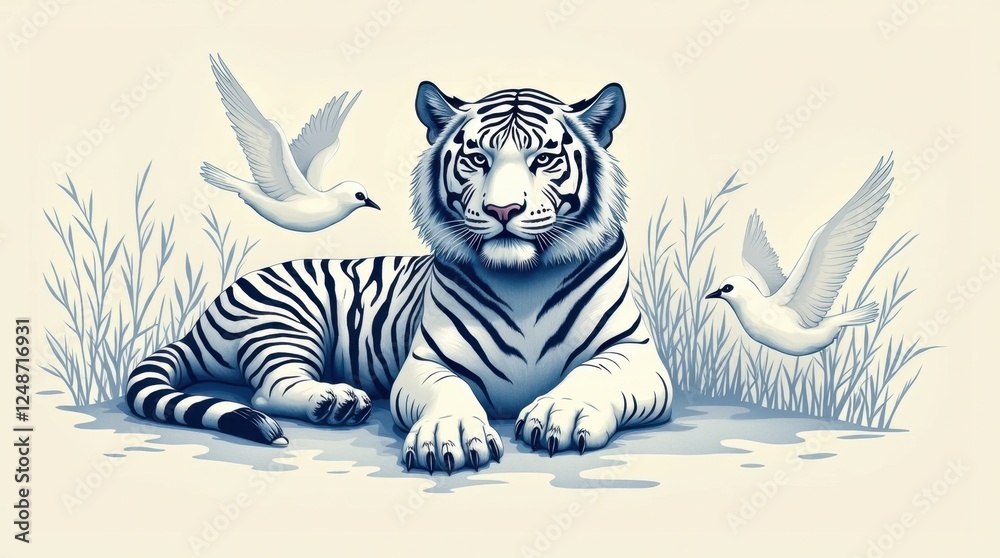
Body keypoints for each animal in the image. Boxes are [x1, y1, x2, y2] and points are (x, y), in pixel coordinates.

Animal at [126, 81, 673, 474]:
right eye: (478, 158)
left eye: (543, 159)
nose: (503, 210)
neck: (523, 279)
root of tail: (201, 318)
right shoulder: (427, 361)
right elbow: (449, 392)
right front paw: (450, 435)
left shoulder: (636, 356)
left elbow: (592, 375)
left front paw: (565, 412)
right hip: (286, 320)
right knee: (266, 389)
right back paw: (336, 400)